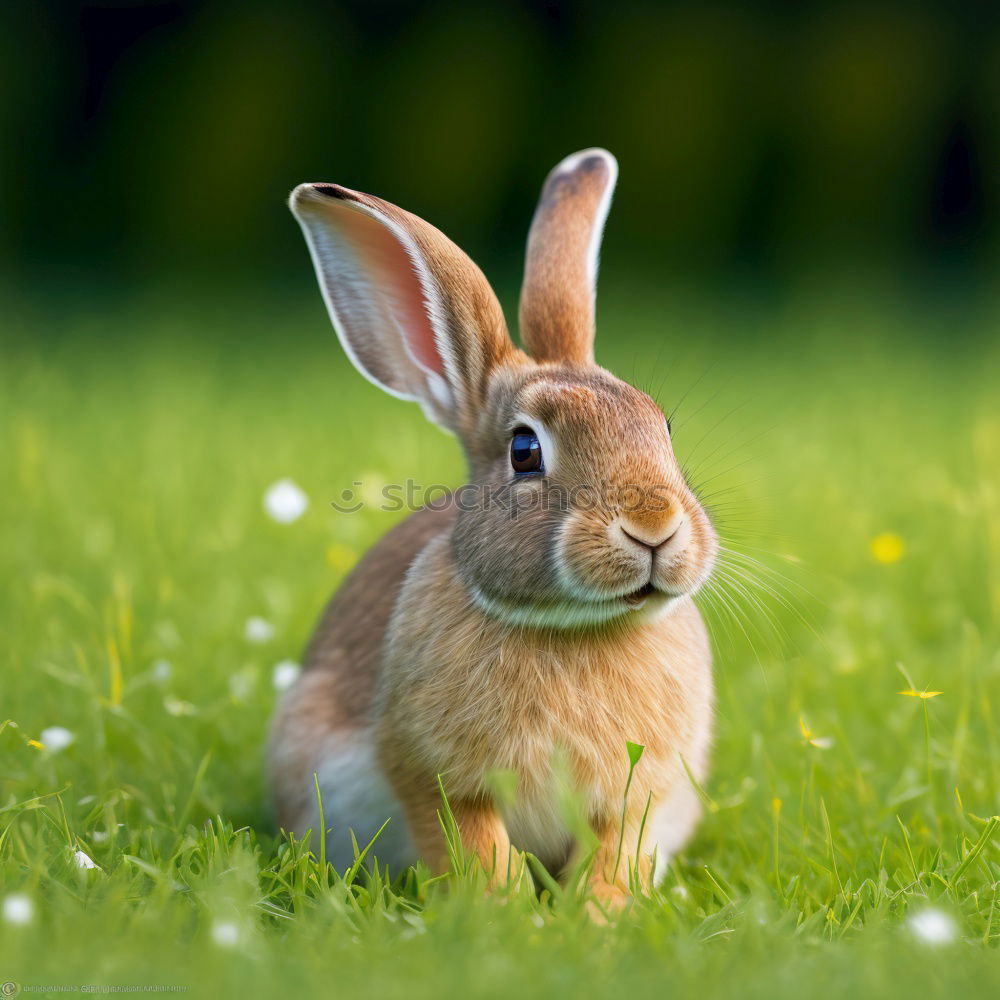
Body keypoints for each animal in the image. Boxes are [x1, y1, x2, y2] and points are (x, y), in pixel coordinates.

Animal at [270, 148, 716, 908]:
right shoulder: (439, 779)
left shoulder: (640, 794)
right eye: (525, 450)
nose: (653, 527)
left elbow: (614, 854)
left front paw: (595, 917)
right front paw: (504, 916)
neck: (574, 630)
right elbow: (474, 848)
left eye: (662, 429)